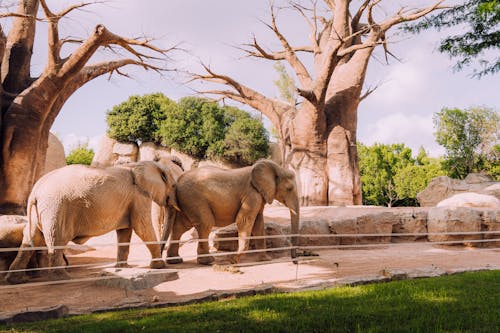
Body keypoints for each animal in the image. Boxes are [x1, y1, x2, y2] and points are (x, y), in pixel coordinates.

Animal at [5, 160, 179, 282]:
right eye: (173, 186)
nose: (167, 259)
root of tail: (35, 190)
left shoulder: (130, 201)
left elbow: (124, 232)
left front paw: (123, 268)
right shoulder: (139, 197)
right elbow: (142, 227)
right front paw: (160, 267)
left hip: (41, 213)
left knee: (31, 239)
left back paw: (14, 280)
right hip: (56, 209)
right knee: (56, 239)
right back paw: (63, 278)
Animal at [162, 158, 298, 264]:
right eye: (289, 188)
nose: (294, 261)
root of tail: (177, 181)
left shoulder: (258, 196)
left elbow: (258, 224)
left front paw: (265, 259)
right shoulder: (251, 194)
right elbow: (243, 220)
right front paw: (233, 260)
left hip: (187, 201)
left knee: (181, 227)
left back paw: (175, 261)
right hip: (194, 199)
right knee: (205, 223)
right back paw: (208, 261)